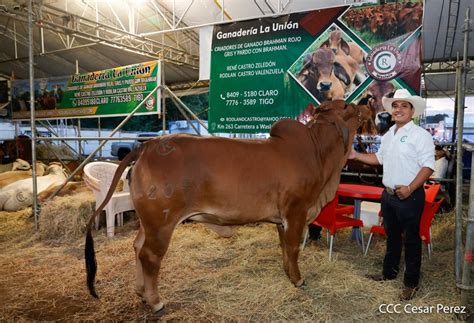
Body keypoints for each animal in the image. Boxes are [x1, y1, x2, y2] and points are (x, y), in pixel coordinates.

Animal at [87, 100, 372, 312]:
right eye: (347, 105)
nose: (368, 103)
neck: (319, 152)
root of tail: (147, 146)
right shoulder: (297, 211)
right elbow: (292, 247)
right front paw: (299, 280)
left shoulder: (282, 219)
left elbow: (284, 247)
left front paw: (288, 273)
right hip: (161, 222)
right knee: (150, 255)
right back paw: (155, 301)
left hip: (148, 221)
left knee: (136, 247)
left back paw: (140, 292)